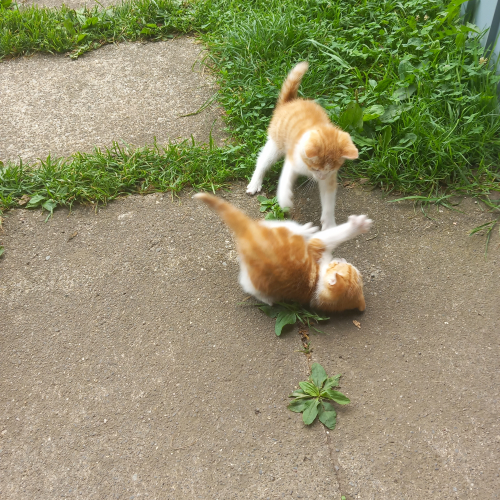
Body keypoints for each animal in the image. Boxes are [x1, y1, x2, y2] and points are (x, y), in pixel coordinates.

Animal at [195, 192, 372, 312]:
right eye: (351, 268)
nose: (343, 260)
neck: (315, 285)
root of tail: (250, 232)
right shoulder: (317, 246)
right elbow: (335, 234)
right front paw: (358, 226)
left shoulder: (316, 245)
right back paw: (305, 230)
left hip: (253, 272)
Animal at [244, 61, 358, 230]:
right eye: (315, 168)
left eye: (330, 170)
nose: (320, 177)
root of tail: (289, 102)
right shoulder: (292, 160)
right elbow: (284, 181)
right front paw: (284, 200)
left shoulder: (329, 180)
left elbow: (328, 201)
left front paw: (329, 224)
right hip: (275, 144)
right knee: (263, 161)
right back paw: (255, 182)